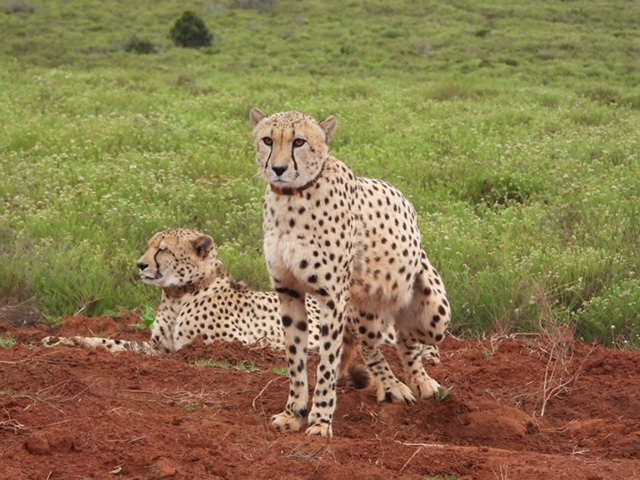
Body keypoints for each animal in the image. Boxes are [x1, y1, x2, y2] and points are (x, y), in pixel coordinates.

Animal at [250, 108, 451, 437]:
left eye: (299, 142)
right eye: (268, 140)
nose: (278, 169)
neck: (291, 197)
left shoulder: (331, 297)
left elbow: (326, 365)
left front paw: (320, 421)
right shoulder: (289, 292)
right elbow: (296, 360)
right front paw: (293, 413)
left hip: (435, 314)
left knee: (407, 336)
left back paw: (417, 380)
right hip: (363, 310)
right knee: (370, 346)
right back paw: (391, 385)